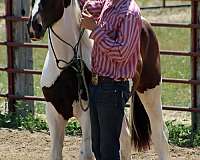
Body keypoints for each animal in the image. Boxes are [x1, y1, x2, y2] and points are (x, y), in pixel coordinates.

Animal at [27, 0, 170, 160]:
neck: (69, 65)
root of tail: (144, 23)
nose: (34, 27)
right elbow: (55, 153)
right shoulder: (54, 112)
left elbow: (87, 153)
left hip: (151, 91)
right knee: (125, 136)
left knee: (160, 135)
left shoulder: (88, 115)